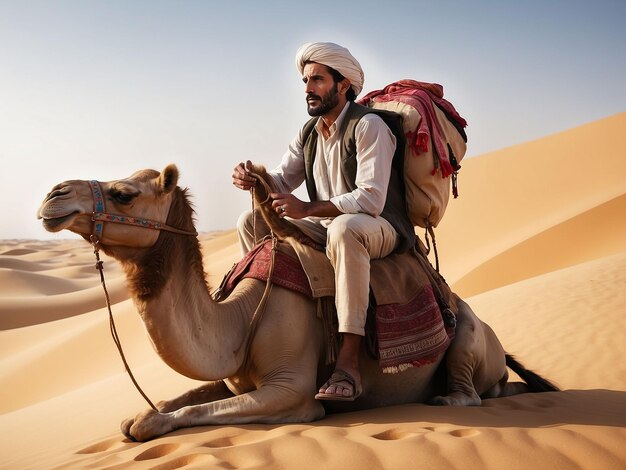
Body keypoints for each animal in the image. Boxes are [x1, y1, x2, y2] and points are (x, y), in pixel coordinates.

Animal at [37, 164, 556, 440]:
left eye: (124, 194)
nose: (53, 194)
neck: (240, 317)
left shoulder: (292, 391)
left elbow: (171, 416)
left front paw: (147, 421)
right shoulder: (230, 376)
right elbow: (169, 401)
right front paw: (142, 412)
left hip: (468, 334)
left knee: (469, 390)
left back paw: (449, 396)